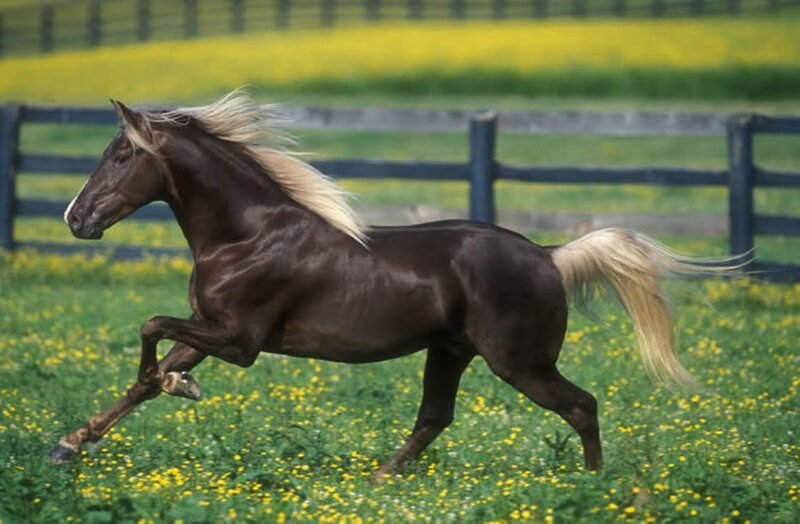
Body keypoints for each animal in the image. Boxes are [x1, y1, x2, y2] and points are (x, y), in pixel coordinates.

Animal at [49, 91, 726, 477]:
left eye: (119, 156)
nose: (75, 219)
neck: (247, 234)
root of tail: (549, 255)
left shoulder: (240, 342)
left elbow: (149, 331)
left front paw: (175, 386)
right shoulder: (211, 330)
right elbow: (145, 378)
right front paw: (70, 444)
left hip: (520, 362)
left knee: (582, 406)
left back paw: (596, 486)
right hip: (450, 352)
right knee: (434, 417)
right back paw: (380, 477)